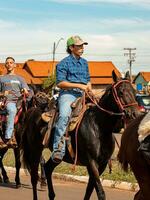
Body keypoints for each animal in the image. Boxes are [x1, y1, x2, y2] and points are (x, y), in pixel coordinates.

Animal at [20, 70, 138, 200]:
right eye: (121, 92)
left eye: (134, 92)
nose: (135, 113)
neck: (99, 127)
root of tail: (32, 111)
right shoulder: (92, 162)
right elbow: (100, 192)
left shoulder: (102, 164)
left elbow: (89, 190)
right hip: (35, 150)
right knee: (34, 177)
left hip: (57, 156)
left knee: (48, 168)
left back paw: (52, 195)